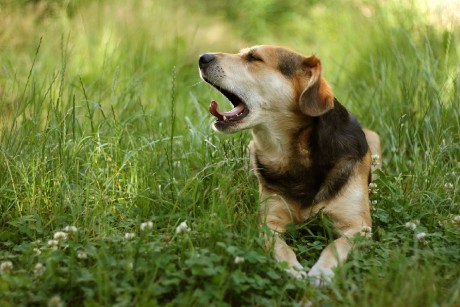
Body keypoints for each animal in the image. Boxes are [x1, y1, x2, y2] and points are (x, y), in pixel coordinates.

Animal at [198, 44, 380, 286]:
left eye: (253, 57)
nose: (202, 57)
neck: (295, 155)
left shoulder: (359, 227)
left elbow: (335, 246)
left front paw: (321, 272)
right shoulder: (269, 223)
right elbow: (281, 248)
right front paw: (293, 270)